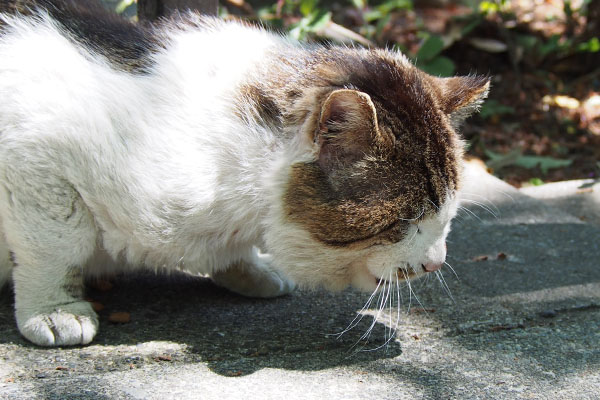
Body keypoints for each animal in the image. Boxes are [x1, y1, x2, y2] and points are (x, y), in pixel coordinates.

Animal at [0, 0, 488, 346]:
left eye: (446, 216)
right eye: (403, 222)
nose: (435, 262)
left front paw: (247, 269)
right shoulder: (36, 155)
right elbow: (58, 244)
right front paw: (55, 309)